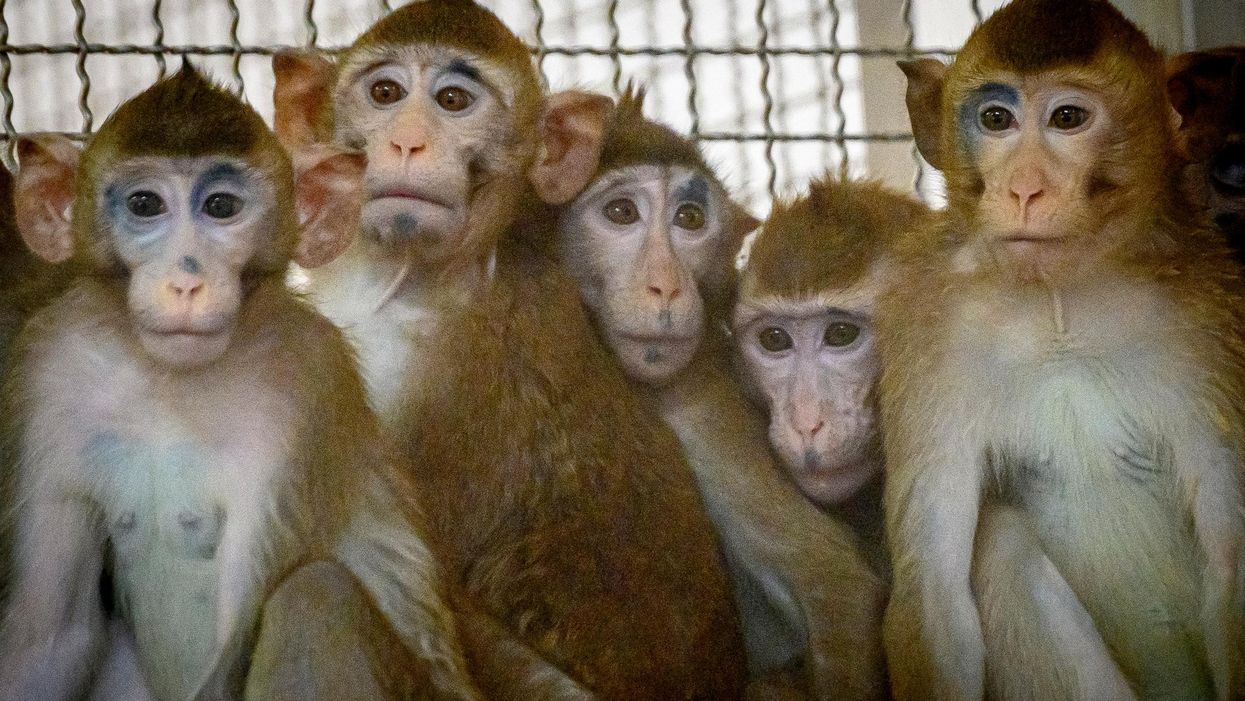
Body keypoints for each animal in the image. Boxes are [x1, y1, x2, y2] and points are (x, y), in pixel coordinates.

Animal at [0, 66, 480, 701]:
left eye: (221, 207)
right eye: (145, 203)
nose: (187, 281)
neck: (169, 383)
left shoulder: (300, 382)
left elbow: (238, 642)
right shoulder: (52, 367)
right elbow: (50, 635)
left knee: (314, 597)